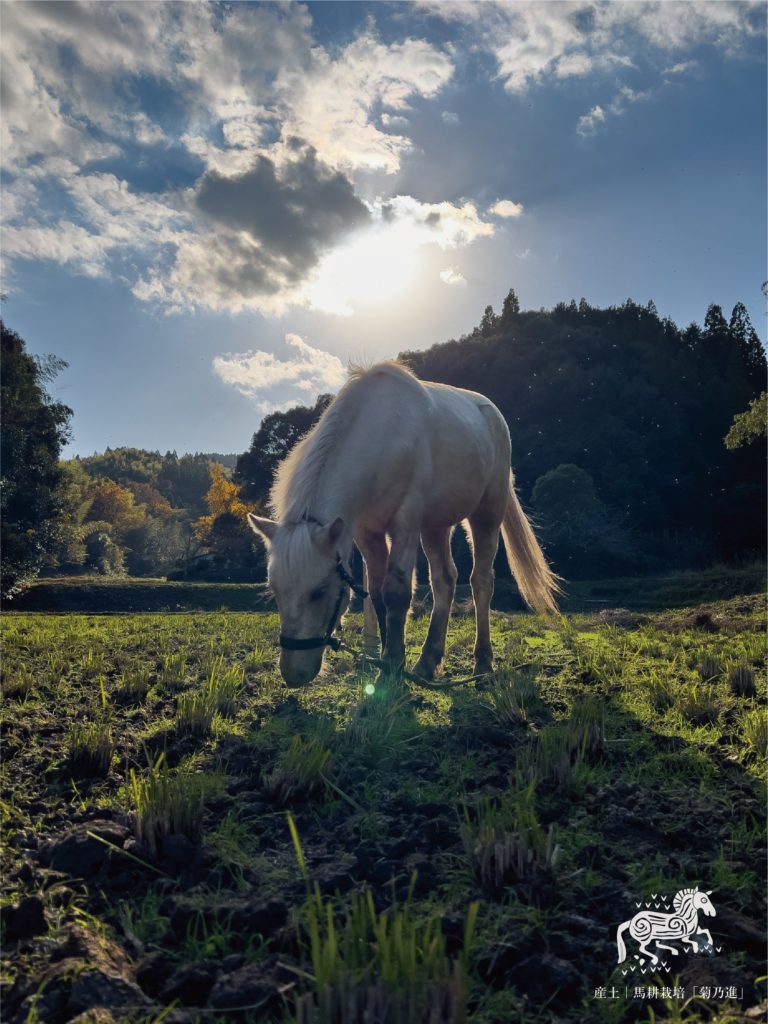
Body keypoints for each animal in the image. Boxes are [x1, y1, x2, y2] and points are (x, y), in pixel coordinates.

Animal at [249, 360, 561, 688]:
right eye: (275, 590)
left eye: (319, 591)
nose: (293, 674)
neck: (381, 437)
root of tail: (494, 417)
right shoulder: (367, 532)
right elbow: (377, 593)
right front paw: (389, 664)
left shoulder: (406, 523)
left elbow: (396, 591)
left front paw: (393, 664)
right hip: (436, 526)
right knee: (445, 581)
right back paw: (427, 661)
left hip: (487, 514)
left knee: (481, 582)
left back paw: (483, 663)